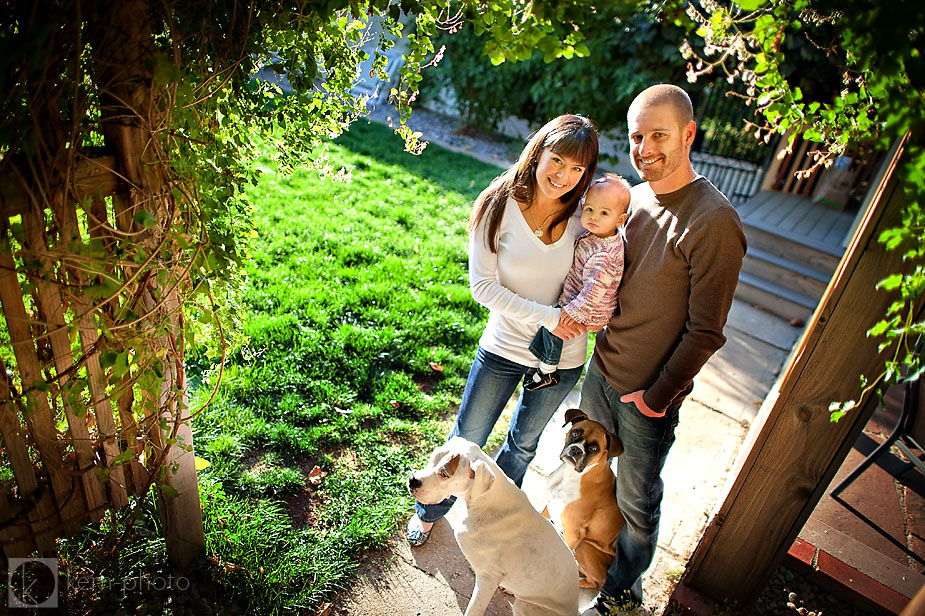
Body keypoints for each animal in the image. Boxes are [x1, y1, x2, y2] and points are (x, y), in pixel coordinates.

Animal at [406, 438, 572, 616]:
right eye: (432, 457)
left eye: (444, 474)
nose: (412, 480)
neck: (486, 500)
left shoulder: (488, 580)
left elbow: (474, 608)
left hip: (525, 606)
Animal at [544, 410, 624, 588]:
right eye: (575, 433)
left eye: (594, 448)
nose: (576, 450)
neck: (572, 476)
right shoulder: (548, 506)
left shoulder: (574, 532)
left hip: (584, 546)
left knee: (595, 582)